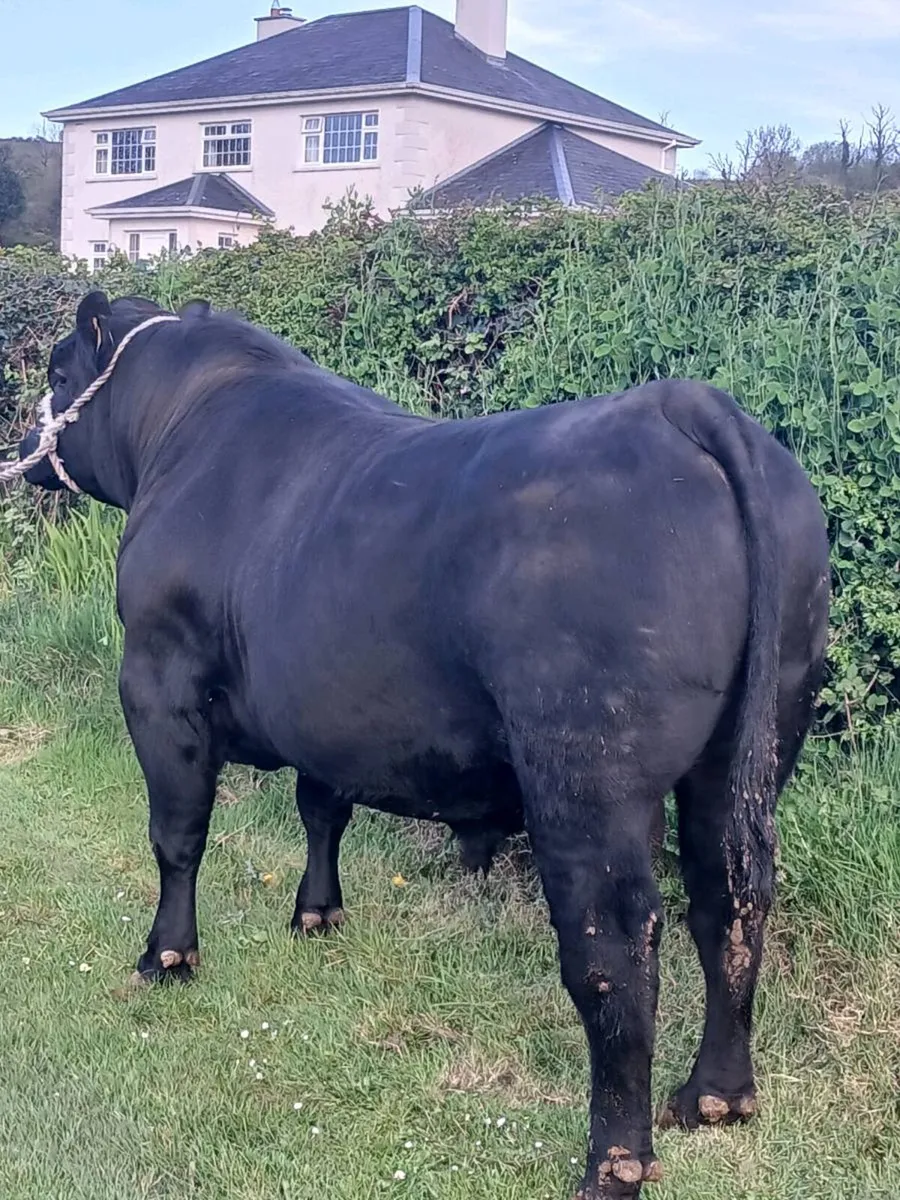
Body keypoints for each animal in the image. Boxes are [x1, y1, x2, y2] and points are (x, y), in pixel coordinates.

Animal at [19, 291, 830, 1198]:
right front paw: (317, 913)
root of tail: (681, 404)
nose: (22, 443)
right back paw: (715, 1095)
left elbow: (177, 834)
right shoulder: (325, 709)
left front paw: (167, 957)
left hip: (588, 777)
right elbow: (321, 806)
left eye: (59, 371)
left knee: (615, 948)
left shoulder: (158, 683)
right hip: (748, 753)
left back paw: (614, 1161)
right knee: (731, 897)